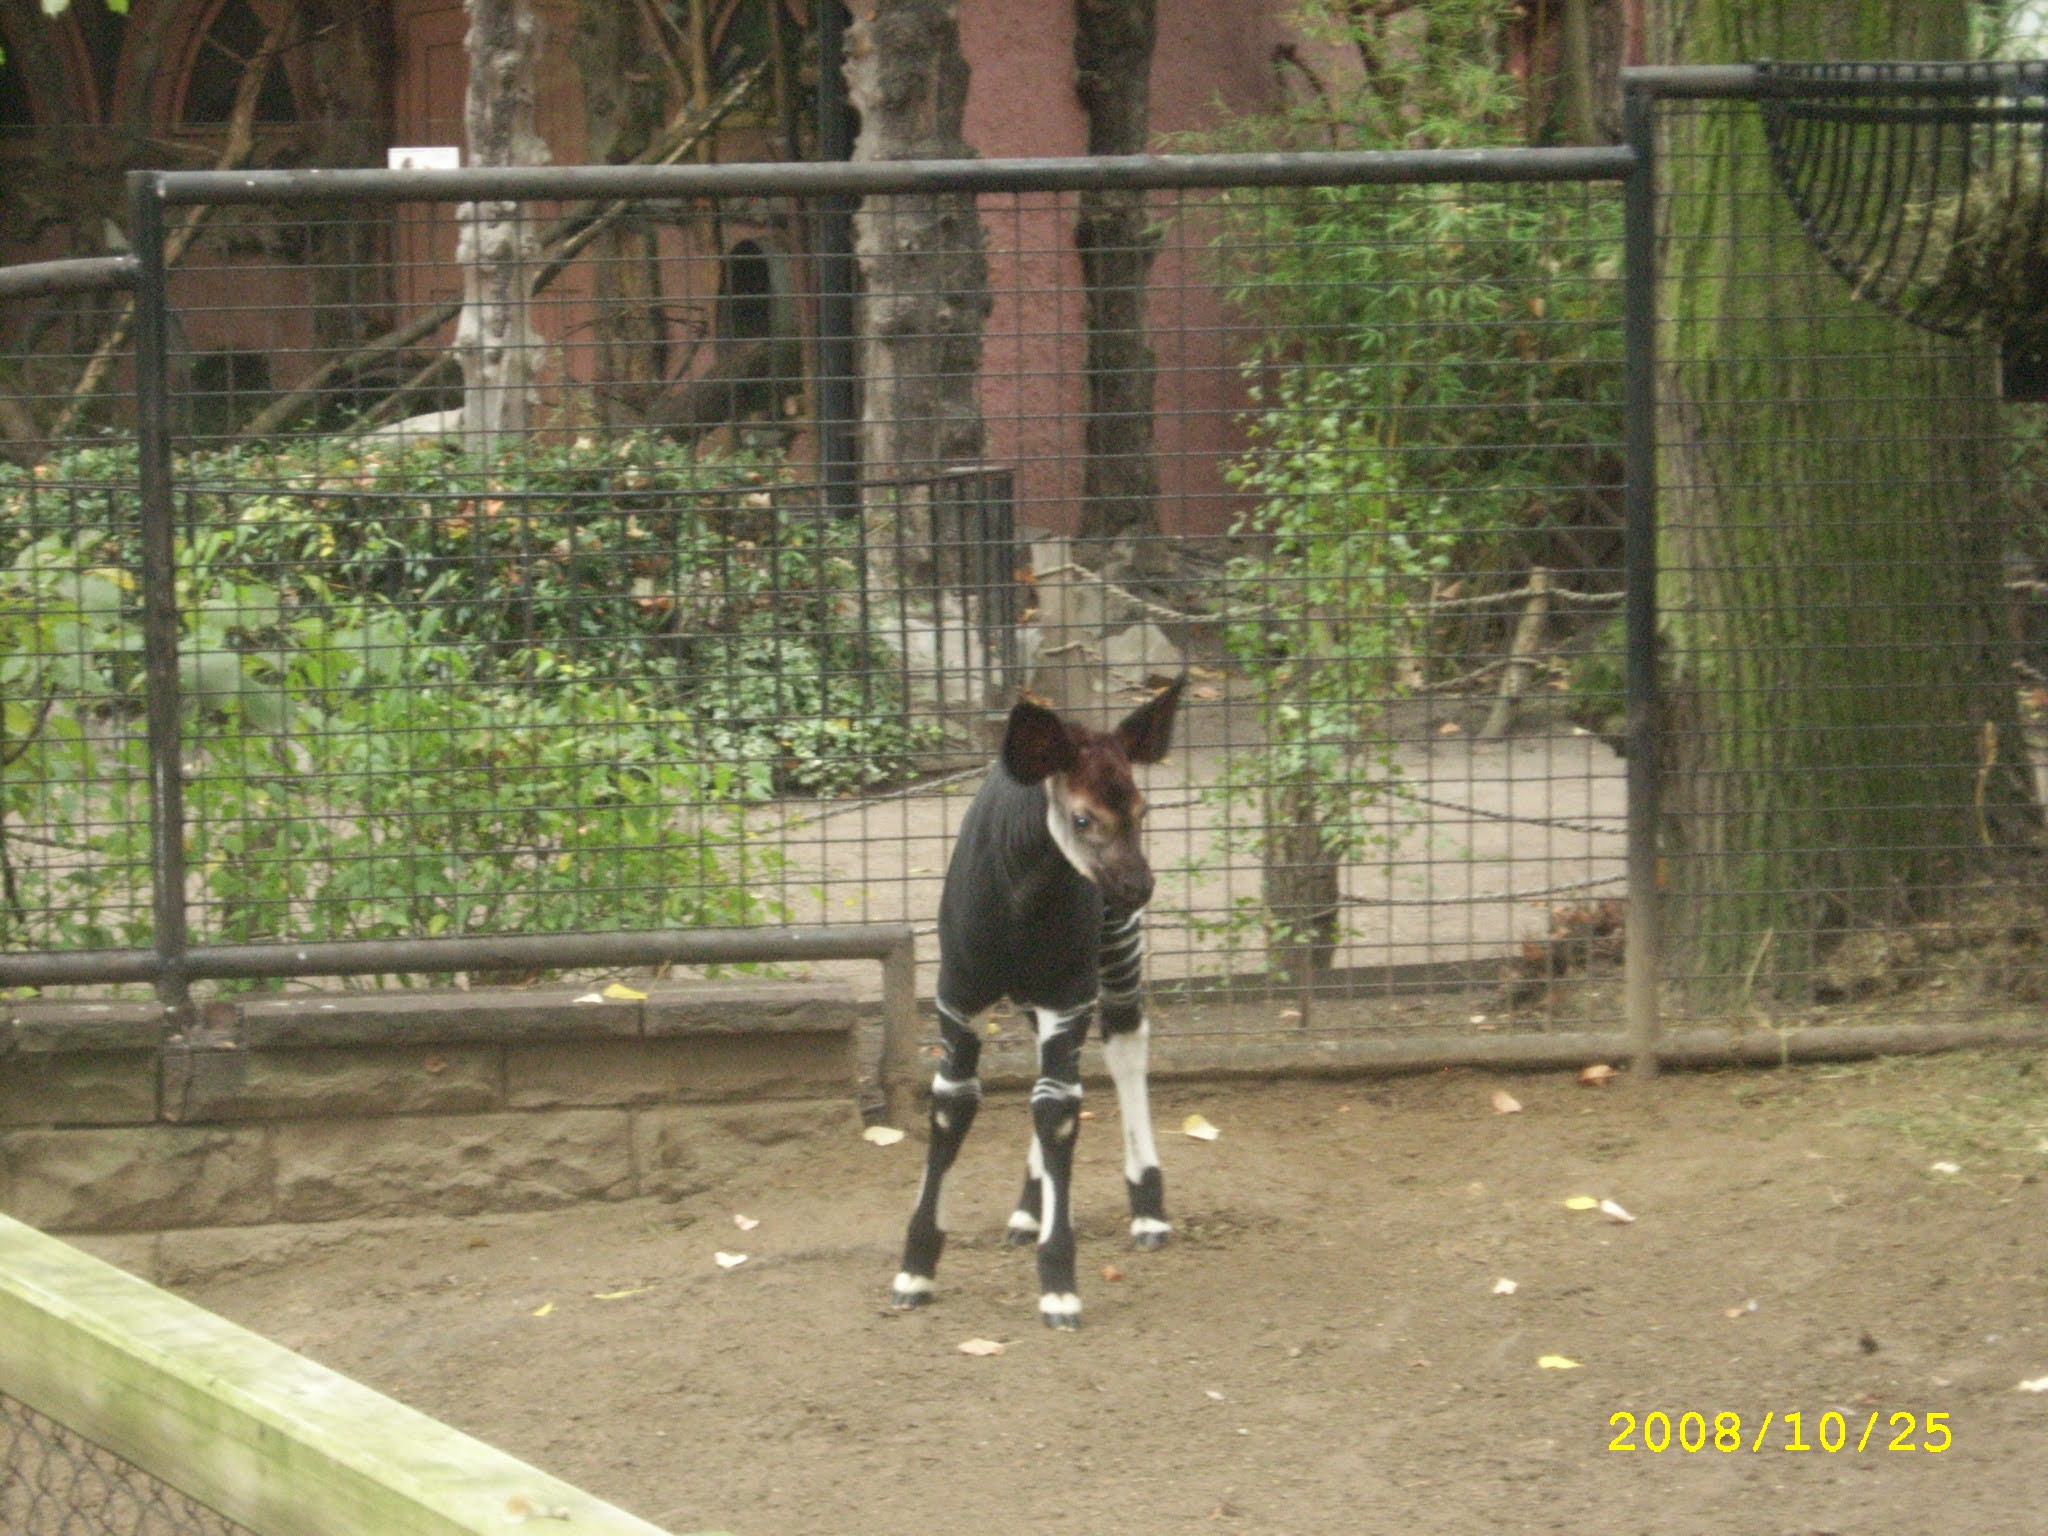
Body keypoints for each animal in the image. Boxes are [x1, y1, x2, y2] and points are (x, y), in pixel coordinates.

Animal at [892, 679, 1187, 1327]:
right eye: (1081, 817)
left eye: (1143, 813)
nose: (1138, 888)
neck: (1021, 898)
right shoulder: (960, 998)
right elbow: (954, 1105)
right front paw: (915, 1270)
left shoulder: (1066, 995)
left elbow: (1057, 1110)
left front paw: (1058, 1284)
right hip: (1040, 991)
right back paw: (1030, 1210)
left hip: (1113, 952)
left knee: (1124, 1040)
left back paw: (1148, 1211)